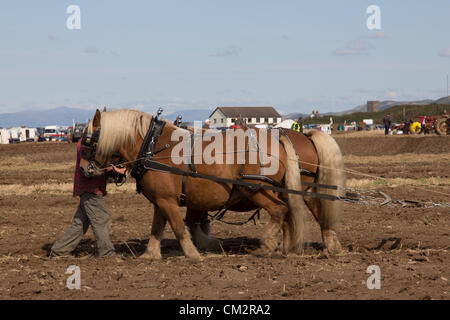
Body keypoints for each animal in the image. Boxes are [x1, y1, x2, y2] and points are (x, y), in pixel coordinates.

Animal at [80, 109, 344, 260]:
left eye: (88, 140)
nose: (84, 170)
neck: (152, 146)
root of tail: (282, 139)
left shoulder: (168, 200)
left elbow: (179, 227)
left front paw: (194, 255)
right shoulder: (162, 201)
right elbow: (157, 228)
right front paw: (149, 255)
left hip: (258, 189)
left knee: (281, 211)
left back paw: (268, 247)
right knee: (297, 214)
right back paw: (296, 249)